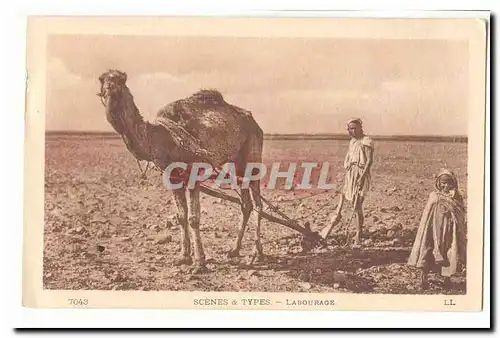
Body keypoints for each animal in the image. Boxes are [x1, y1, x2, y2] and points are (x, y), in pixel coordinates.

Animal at [97, 69, 266, 272]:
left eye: (120, 84)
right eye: (102, 84)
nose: (110, 94)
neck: (161, 137)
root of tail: (255, 123)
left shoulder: (193, 173)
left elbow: (193, 218)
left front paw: (199, 262)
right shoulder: (172, 177)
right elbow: (181, 217)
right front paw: (183, 257)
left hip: (252, 155)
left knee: (258, 204)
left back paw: (257, 253)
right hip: (236, 162)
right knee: (246, 204)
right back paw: (234, 250)